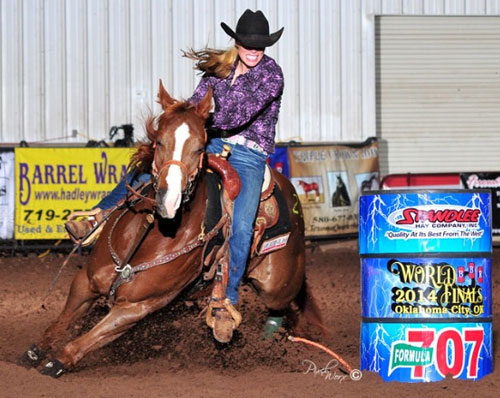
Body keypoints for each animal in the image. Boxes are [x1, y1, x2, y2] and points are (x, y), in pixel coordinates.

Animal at [20, 83, 320, 376]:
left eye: (199, 148)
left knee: (288, 305)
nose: (169, 199)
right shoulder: (86, 281)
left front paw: (57, 361)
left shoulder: (136, 307)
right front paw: (34, 352)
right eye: (159, 141)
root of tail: (289, 191)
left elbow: (86, 340)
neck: (151, 235)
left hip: (277, 286)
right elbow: (61, 323)